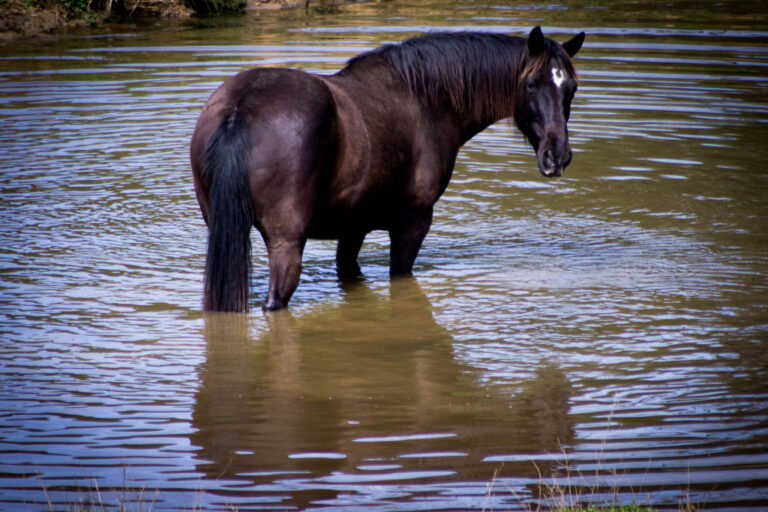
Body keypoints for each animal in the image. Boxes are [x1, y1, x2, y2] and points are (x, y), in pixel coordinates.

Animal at [190, 26, 584, 312]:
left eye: (572, 88)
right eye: (531, 84)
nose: (557, 156)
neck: (426, 101)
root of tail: (241, 108)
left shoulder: (354, 228)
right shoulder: (412, 223)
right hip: (286, 242)